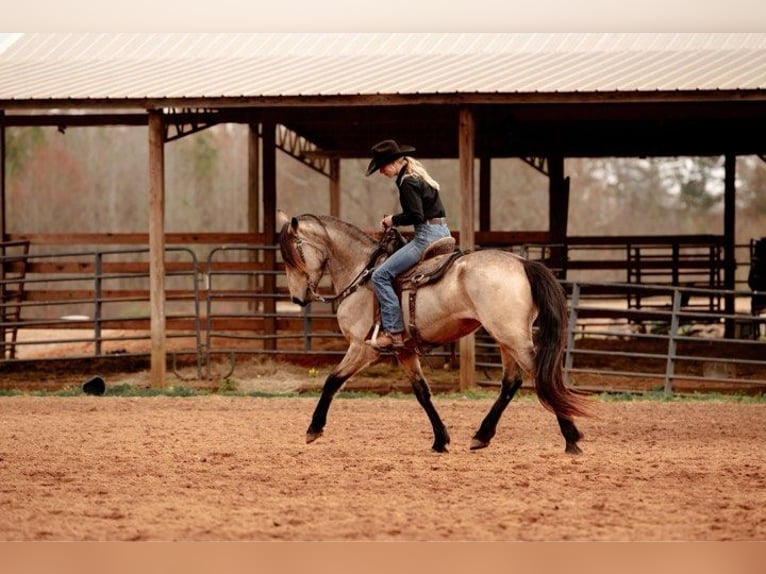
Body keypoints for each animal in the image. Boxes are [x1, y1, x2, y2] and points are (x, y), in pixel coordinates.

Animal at [278, 209, 592, 456]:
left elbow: (332, 381)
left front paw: (314, 428)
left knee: (538, 377)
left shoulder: (362, 347)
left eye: (293, 255)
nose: (296, 298)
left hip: (512, 337)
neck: (363, 274)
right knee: (511, 383)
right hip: (506, 338)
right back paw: (482, 436)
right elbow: (422, 393)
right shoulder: (404, 351)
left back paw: (571, 438)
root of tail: (522, 263)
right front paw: (441, 440)